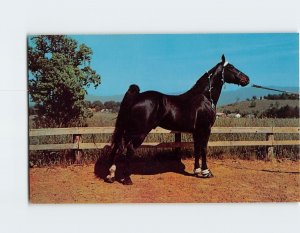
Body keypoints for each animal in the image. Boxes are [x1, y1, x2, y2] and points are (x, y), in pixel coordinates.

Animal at [104, 55, 250, 186]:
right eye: (231, 67)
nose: (246, 79)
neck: (204, 97)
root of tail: (137, 96)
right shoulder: (205, 129)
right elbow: (203, 148)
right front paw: (206, 172)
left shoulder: (196, 131)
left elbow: (197, 148)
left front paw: (197, 171)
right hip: (139, 132)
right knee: (129, 149)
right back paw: (127, 179)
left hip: (128, 130)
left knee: (117, 147)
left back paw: (111, 175)